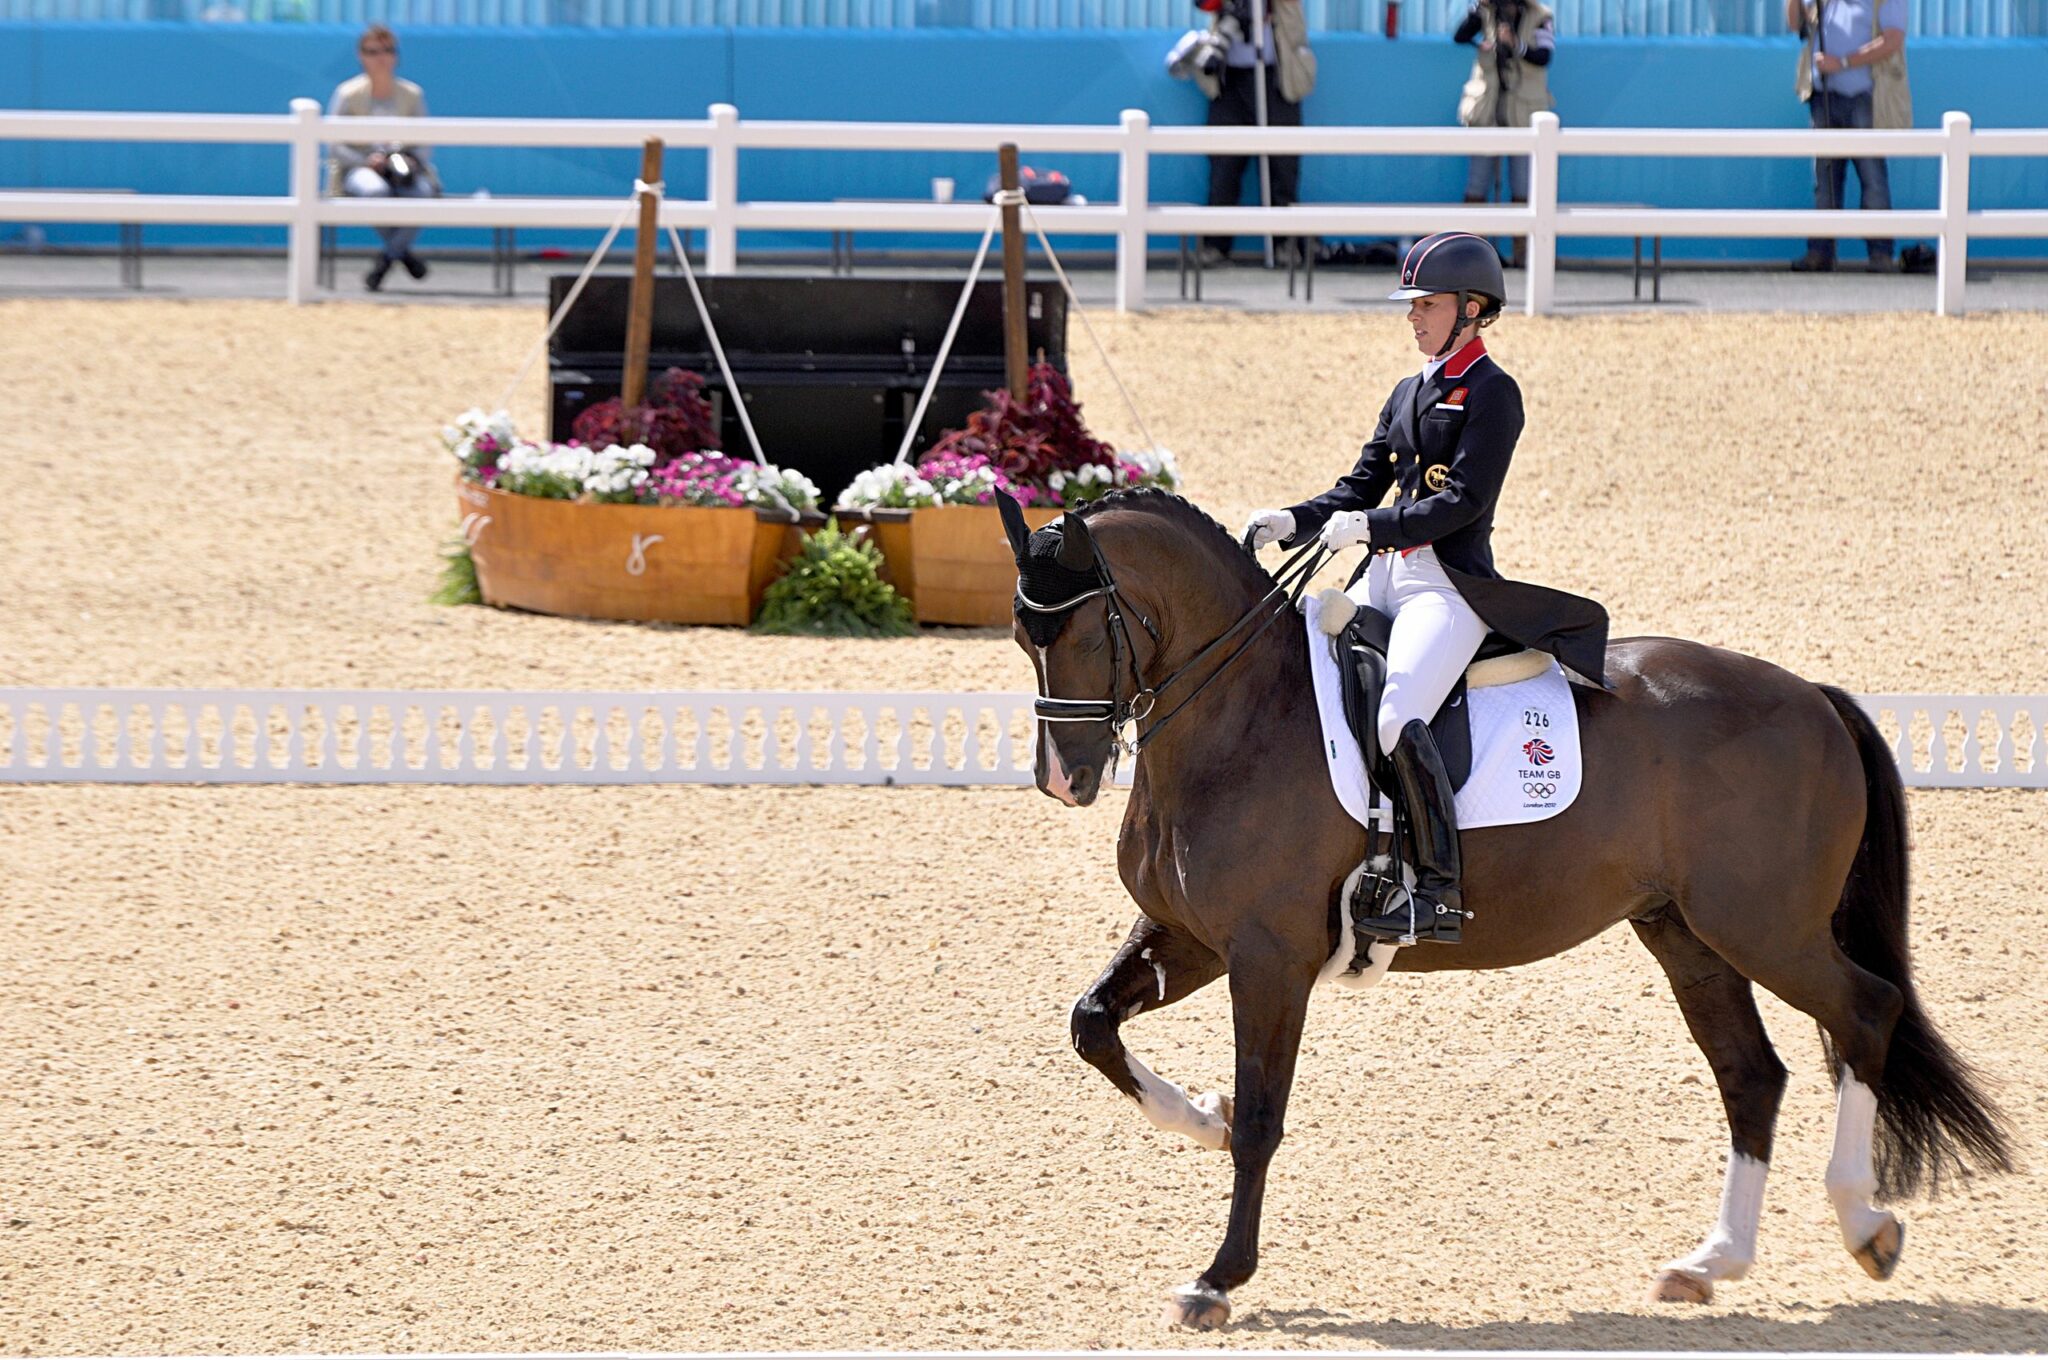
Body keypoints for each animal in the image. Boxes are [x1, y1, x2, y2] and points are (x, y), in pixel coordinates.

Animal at [999, 485, 2007, 1327]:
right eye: (1022, 635)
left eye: (1088, 630)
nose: (1064, 780)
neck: (1240, 717)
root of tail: (1815, 698)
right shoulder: (1191, 937)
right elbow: (1093, 1025)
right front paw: (1199, 1116)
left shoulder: (1268, 957)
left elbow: (1261, 1119)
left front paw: (1217, 1279)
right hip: (1686, 933)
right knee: (1751, 1075)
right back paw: (1711, 1262)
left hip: (1766, 927)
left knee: (1866, 1011)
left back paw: (1865, 1226)